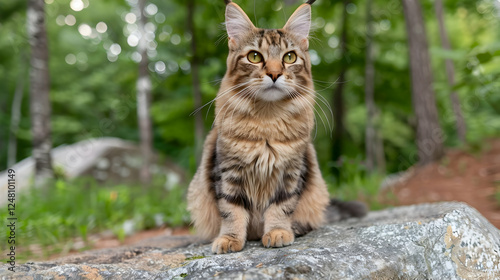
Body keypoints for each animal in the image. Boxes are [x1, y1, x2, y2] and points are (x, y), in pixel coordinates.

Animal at [188, 0, 368, 254]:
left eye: (290, 57)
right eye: (254, 57)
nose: (274, 73)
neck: (267, 120)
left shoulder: (291, 173)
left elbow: (281, 208)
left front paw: (277, 232)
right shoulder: (227, 172)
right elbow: (232, 211)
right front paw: (230, 239)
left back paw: (296, 228)